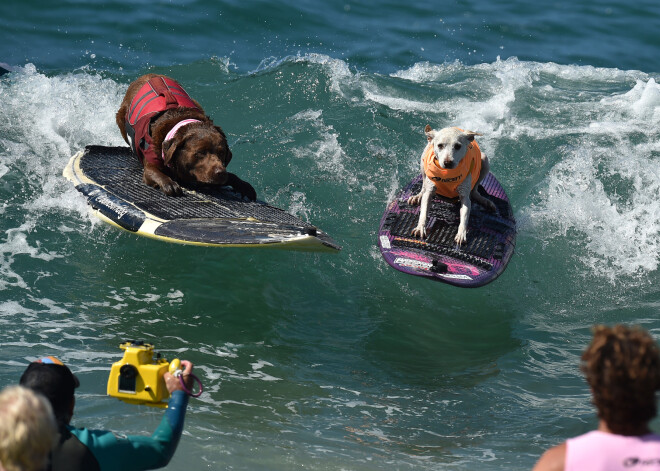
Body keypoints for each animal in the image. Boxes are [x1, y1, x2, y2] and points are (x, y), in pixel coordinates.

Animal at [116, 74, 255, 200]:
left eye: (221, 153)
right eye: (200, 152)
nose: (220, 173)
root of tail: (146, 76)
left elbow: (231, 176)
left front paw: (244, 185)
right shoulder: (150, 165)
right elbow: (155, 172)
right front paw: (169, 184)